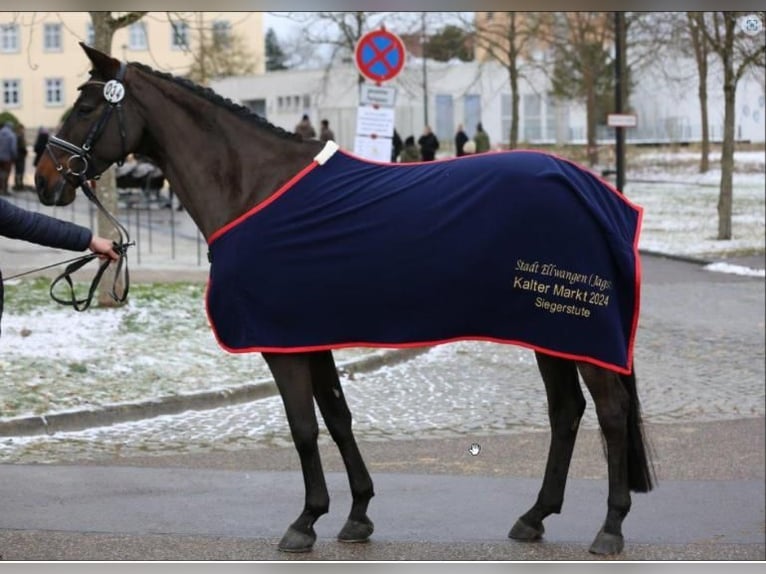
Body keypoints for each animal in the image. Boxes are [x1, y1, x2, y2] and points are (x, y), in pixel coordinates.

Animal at [34, 43, 654, 556]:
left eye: (85, 106)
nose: (44, 180)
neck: (255, 187)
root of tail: (596, 192)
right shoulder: (311, 335)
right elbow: (337, 416)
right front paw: (357, 514)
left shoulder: (281, 341)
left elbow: (303, 427)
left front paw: (306, 520)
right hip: (549, 332)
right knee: (566, 412)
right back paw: (535, 516)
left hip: (572, 327)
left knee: (610, 413)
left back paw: (611, 528)